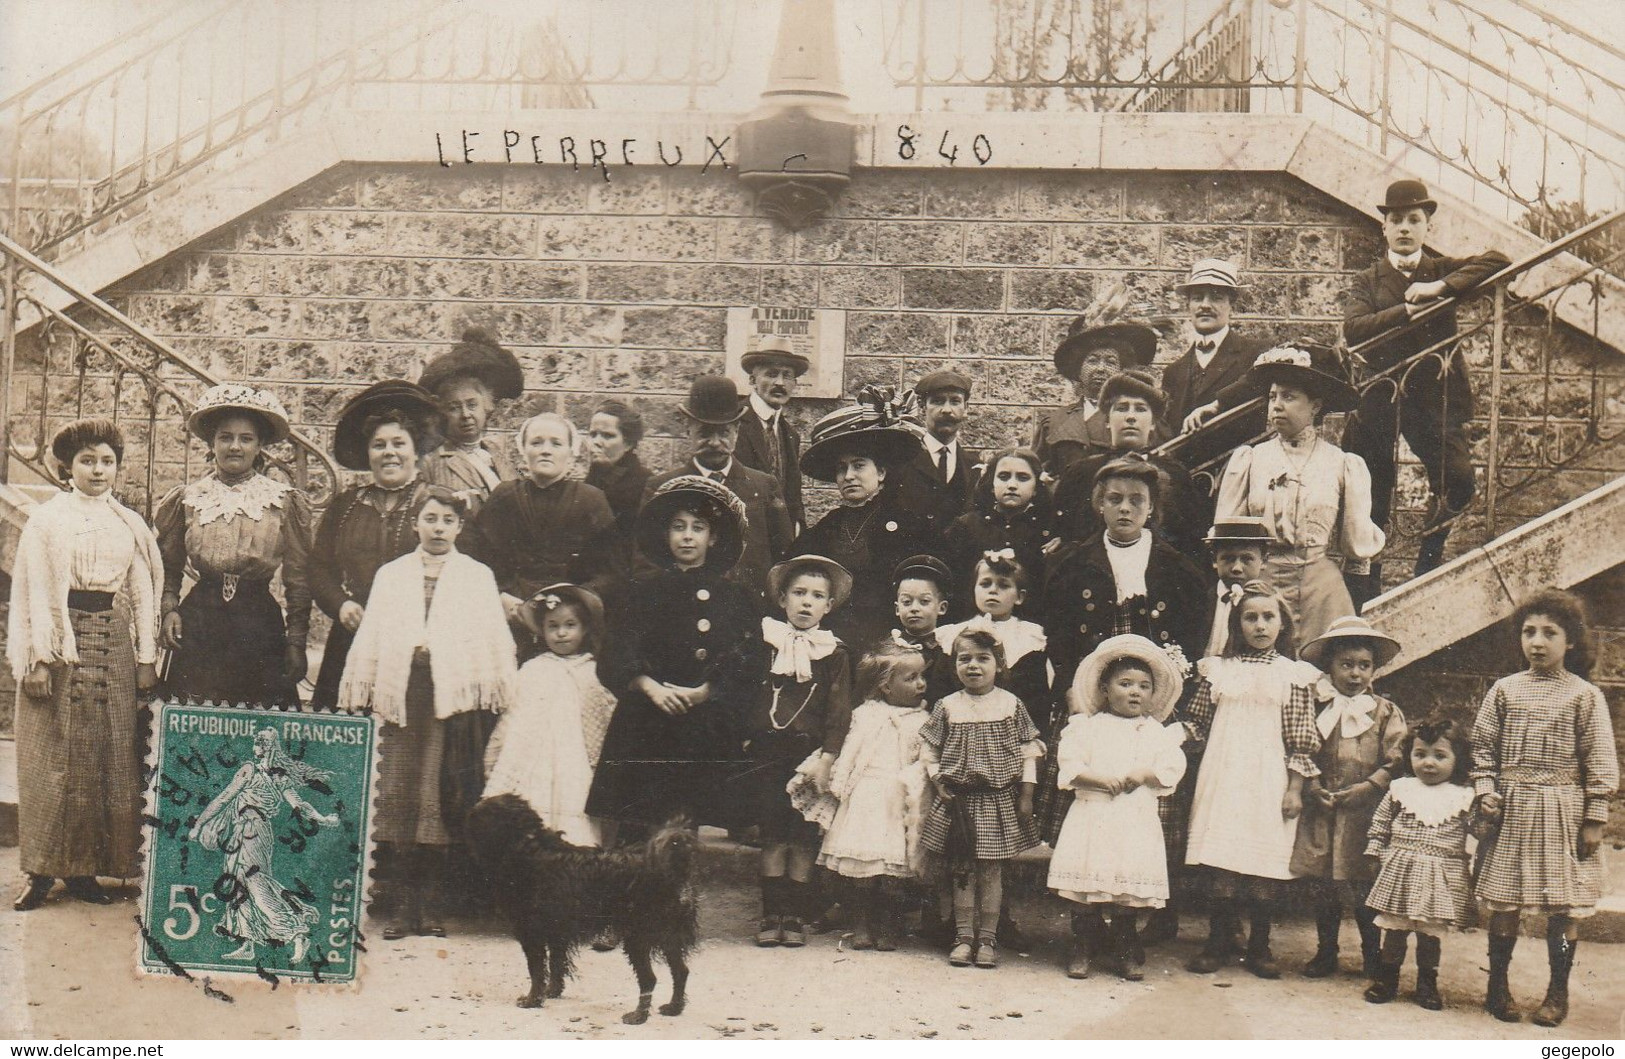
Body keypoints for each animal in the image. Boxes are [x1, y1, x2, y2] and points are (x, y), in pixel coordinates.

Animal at [471, 789, 698, 1020]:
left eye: (487, 813)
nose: (471, 809)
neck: (528, 846)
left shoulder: (532, 933)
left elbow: (536, 970)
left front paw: (532, 999)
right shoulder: (557, 932)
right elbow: (556, 963)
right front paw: (552, 991)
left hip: (638, 936)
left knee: (649, 978)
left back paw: (638, 1016)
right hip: (668, 935)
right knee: (681, 971)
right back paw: (674, 1007)